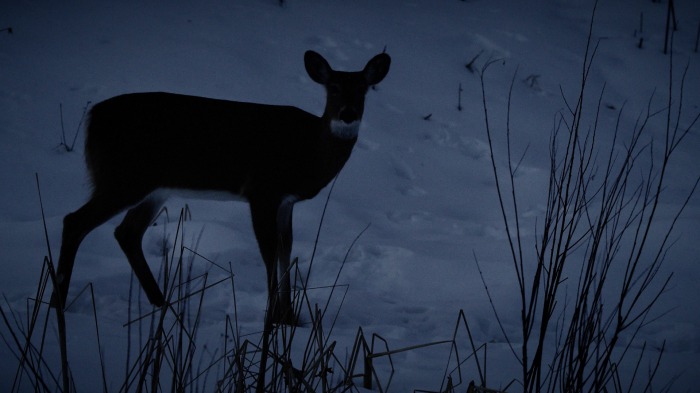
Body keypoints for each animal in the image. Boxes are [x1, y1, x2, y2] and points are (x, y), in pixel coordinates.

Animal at [50, 50, 388, 324]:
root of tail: (93, 118)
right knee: (75, 221)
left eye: (363, 90)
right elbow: (269, 251)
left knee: (127, 232)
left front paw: (290, 318)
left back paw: (163, 306)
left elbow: (286, 248)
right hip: (123, 177)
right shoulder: (262, 190)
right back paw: (58, 304)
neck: (309, 151)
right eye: (333, 88)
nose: (347, 114)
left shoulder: (285, 200)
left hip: (153, 188)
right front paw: (273, 318)